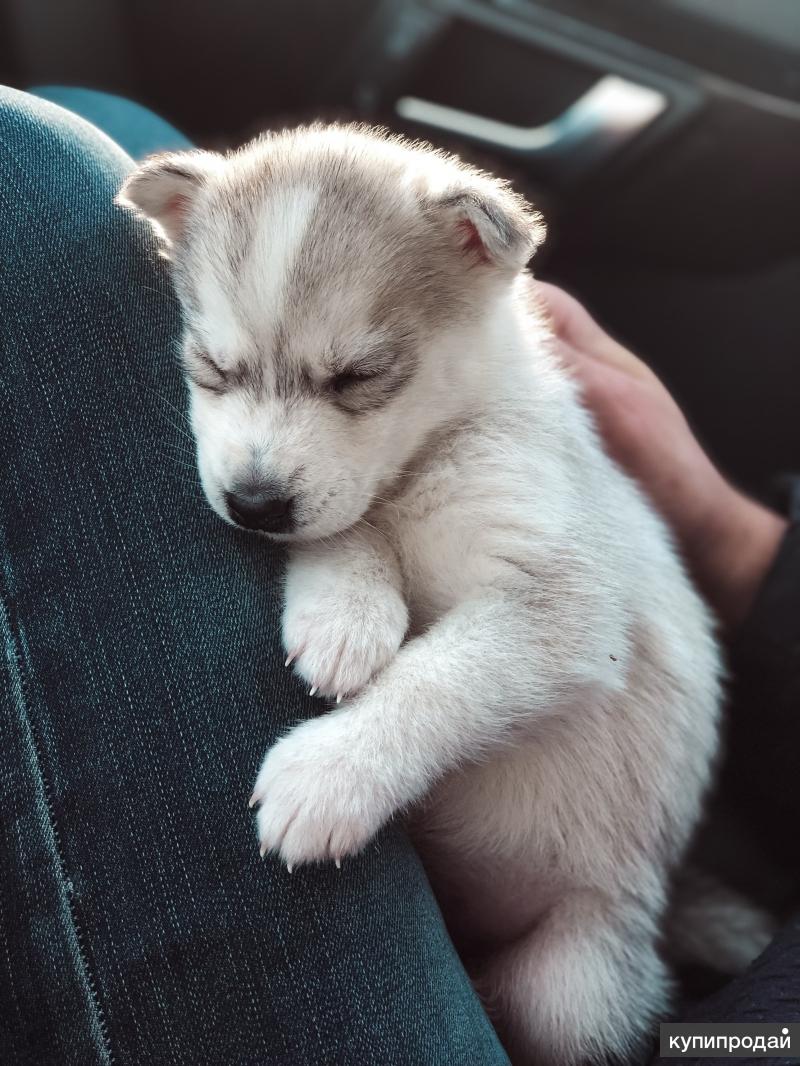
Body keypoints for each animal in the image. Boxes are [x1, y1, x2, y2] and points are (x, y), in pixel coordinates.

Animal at [117, 126, 721, 1066]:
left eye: (359, 376)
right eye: (213, 367)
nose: (253, 505)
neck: (428, 460)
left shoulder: (566, 603)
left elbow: (439, 682)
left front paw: (331, 773)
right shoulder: (358, 503)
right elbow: (346, 526)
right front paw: (346, 616)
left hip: (572, 982)